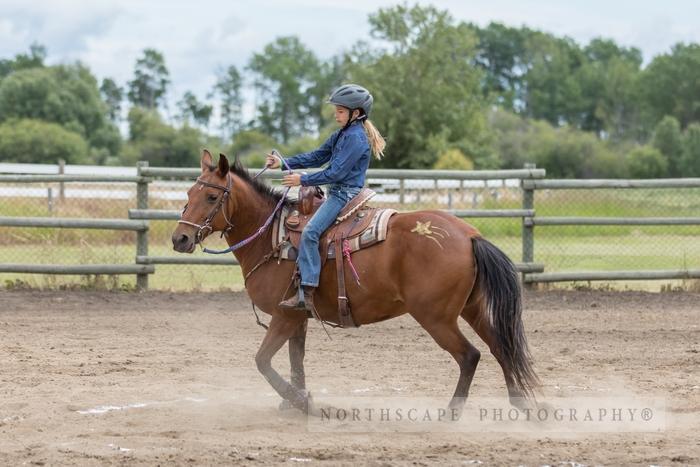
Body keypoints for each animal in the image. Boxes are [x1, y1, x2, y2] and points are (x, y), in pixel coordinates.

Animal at [172, 152, 540, 414]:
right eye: (188, 191)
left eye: (211, 197)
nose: (180, 238)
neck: (271, 238)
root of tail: (470, 235)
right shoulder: (297, 316)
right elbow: (296, 360)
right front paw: (295, 401)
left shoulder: (284, 315)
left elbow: (263, 361)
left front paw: (302, 402)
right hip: (471, 308)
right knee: (500, 347)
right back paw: (525, 407)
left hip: (436, 317)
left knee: (470, 356)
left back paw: (451, 413)